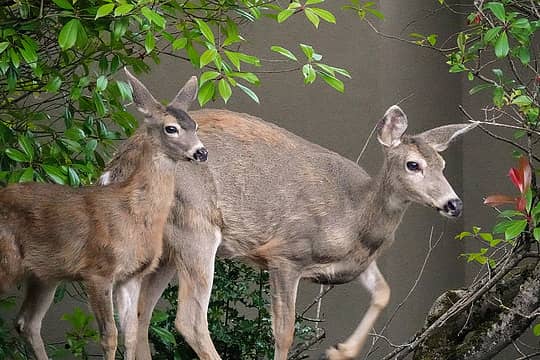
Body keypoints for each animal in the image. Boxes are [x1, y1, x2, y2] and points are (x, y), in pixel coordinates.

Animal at [0, 68, 207, 360]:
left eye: (195, 126)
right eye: (171, 128)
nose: (201, 152)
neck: (133, 213)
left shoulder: (131, 276)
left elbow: (130, 334)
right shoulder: (98, 269)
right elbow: (109, 336)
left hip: (45, 274)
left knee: (27, 323)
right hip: (7, 261)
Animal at [102, 102, 476, 358]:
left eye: (443, 164)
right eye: (413, 164)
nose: (454, 204)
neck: (356, 218)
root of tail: (119, 162)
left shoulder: (355, 264)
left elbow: (383, 292)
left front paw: (342, 351)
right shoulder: (285, 254)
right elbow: (284, 332)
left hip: (163, 248)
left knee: (139, 316)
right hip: (195, 225)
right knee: (188, 319)